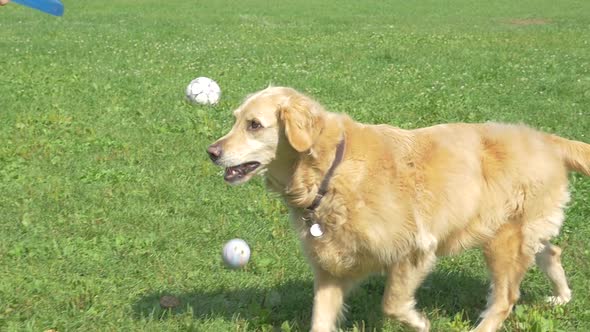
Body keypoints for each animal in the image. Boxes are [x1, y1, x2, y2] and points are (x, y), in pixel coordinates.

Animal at [209, 87, 590, 330]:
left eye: (254, 125)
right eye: (234, 119)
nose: (211, 152)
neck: (330, 170)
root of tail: (547, 140)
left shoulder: (415, 249)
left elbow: (392, 304)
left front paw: (420, 322)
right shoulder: (330, 268)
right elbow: (321, 320)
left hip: (503, 241)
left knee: (505, 298)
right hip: (520, 231)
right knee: (551, 251)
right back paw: (562, 297)